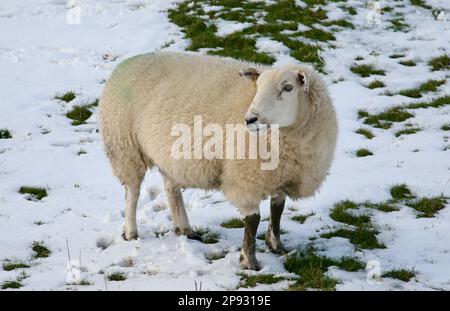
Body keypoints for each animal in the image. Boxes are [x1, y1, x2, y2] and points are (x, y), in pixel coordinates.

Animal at [98, 51, 338, 270]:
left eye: (288, 88)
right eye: (258, 87)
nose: (250, 119)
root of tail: (127, 61)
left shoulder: (280, 176)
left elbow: (277, 210)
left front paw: (276, 246)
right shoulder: (245, 179)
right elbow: (253, 221)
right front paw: (249, 262)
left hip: (169, 155)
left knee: (171, 189)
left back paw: (184, 229)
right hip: (124, 147)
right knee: (132, 192)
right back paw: (131, 232)